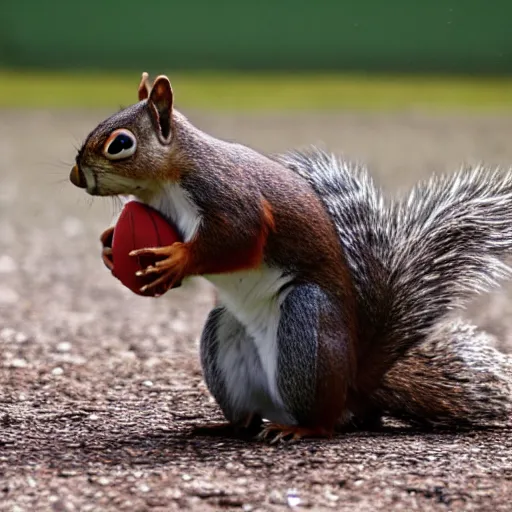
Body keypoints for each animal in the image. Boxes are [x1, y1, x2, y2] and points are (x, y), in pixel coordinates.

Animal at [70, 72, 512, 440]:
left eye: (120, 144)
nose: (76, 176)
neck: (165, 183)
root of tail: (354, 382)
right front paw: (109, 246)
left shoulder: (229, 196)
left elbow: (237, 239)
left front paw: (177, 260)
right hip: (225, 338)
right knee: (248, 417)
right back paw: (225, 426)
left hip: (306, 328)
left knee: (326, 421)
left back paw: (301, 429)